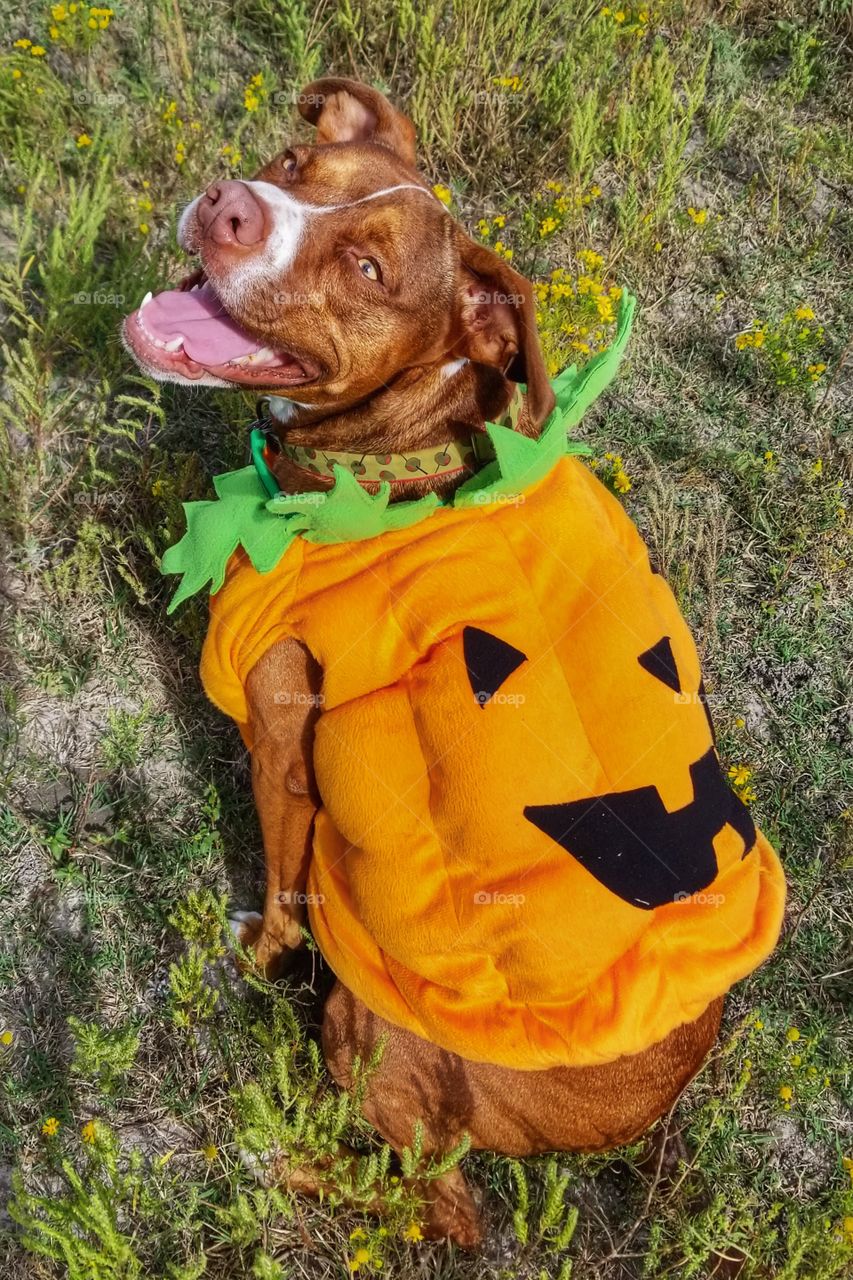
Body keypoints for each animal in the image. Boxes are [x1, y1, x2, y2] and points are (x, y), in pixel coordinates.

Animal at [126, 77, 732, 1239]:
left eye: (367, 270)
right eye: (291, 162)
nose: (228, 206)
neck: (400, 453)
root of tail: (634, 1116)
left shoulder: (281, 740)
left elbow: (281, 890)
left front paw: (256, 959)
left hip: (375, 1021)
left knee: (446, 1205)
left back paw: (281, 1165)